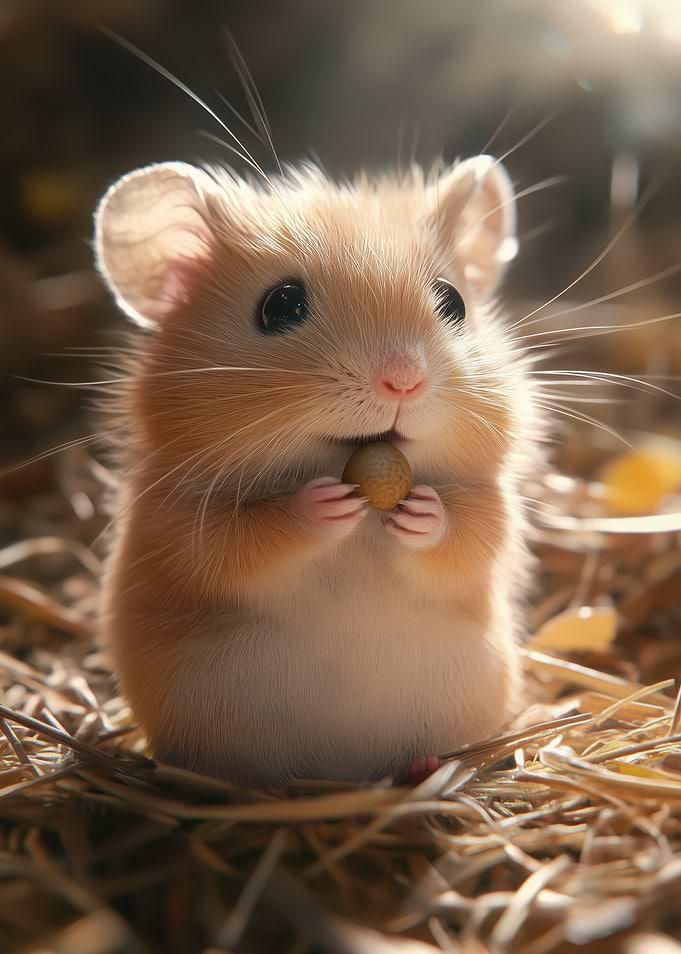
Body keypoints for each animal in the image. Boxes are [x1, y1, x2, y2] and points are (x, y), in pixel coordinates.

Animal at [94, 156, 542, 787]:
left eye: (453, 301)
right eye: (280, 306)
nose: (403, 381)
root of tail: (343, 772)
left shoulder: (494, 506)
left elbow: (468, 533)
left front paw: (420, 511)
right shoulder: (183, 520)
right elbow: (248, 538)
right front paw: (326, 503)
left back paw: (421, 768)